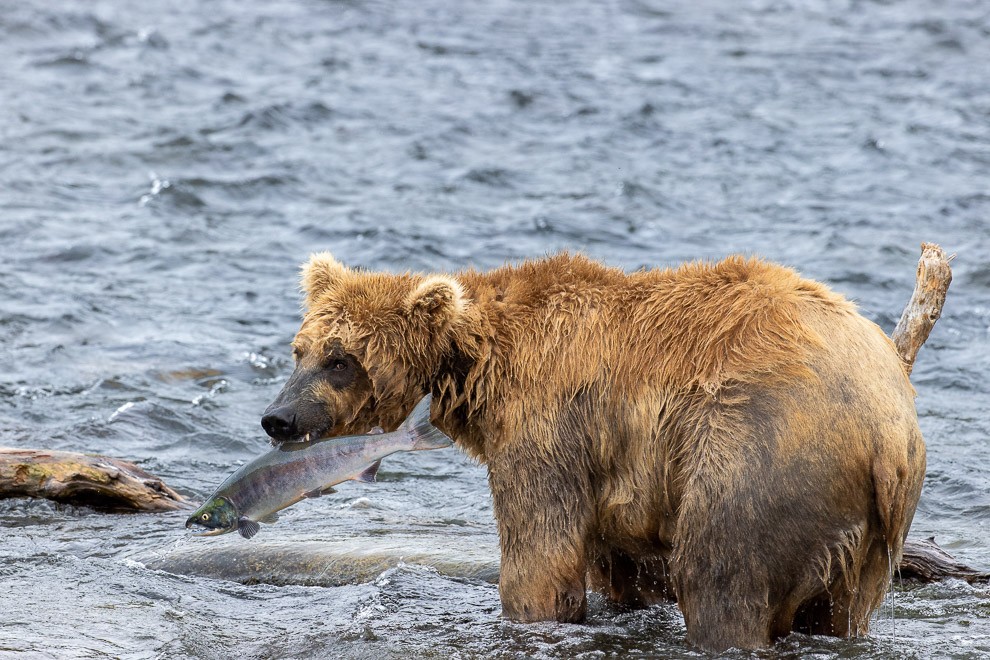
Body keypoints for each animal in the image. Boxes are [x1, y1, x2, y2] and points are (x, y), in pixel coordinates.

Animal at [260, 250, 928, 652]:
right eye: (300, 349)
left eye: (341, 360)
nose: (279, 419)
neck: (480, 365)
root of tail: (888, 424)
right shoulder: (612, 464)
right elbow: (618, 566)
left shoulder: (548, 425)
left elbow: (541, 552)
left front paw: (530, 610)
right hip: (864, 535)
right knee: (839, 610)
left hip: (758, 450)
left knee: (720, 572)